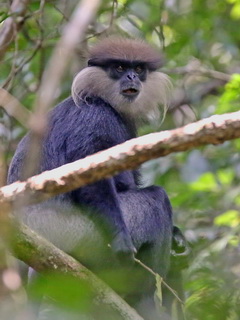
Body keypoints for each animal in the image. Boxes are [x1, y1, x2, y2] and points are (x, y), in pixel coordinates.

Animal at [8, 37, 183, 318]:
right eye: (120, 67)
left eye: (139, 69)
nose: (132, 76)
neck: (104, 101)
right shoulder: (94, 118)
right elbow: (92, 176)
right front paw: (122, 241)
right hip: (81, 234)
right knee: (156, 200)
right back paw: (143, 301)